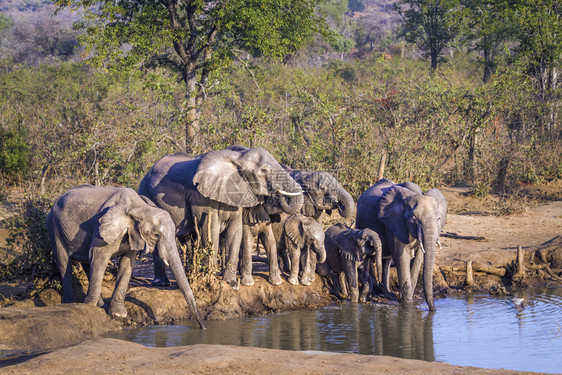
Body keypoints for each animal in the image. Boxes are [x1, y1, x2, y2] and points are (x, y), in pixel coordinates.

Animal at [47, 186, 206, 328]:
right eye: (156, 235)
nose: (203, 328)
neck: (138, 208)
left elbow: (127, 263)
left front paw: (118, 314)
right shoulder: (101, 228)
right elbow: (98, 257)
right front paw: (90, 308)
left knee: (86, 264)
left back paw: (101, 305)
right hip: (54, 226)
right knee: (64, 263)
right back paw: (71, 303)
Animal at [138, 148, 304, 290]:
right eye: (263, 170)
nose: (276, 193)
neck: (238, 158)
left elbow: (235, 232)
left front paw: (231, 284)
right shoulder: (201, 198)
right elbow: (210, 231)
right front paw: (210, 279)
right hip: (147, 195)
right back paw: (162, 283)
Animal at [354, 179, 446, 312]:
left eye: (438, 219)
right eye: (413, 219)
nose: (433, 310)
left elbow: (418, 258)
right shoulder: (394, 222)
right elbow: (402, 257)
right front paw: (406, 304)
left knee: (386, 261)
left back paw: (388, 294)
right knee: (371, 258)